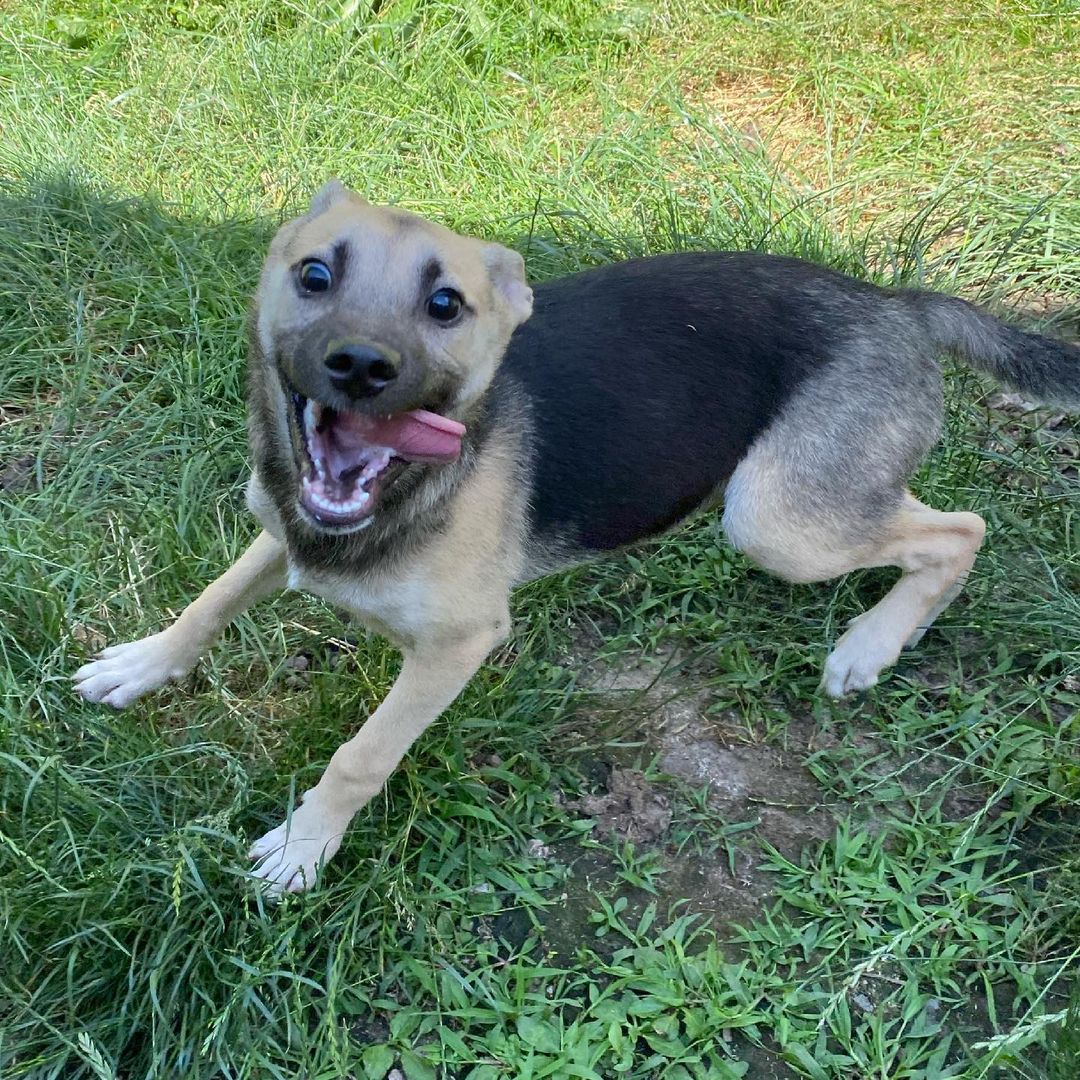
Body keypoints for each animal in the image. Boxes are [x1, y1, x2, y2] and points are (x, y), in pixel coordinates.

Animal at [73, 179, 1080, 894]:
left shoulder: (457, 646)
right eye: (314, 276)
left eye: (446, 305)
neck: (409, 492)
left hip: (775, 520)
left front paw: (304, 847)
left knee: (959, 530)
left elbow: (361, 756)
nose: (360, 367)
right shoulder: (284, 529)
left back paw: (870, 644)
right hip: (814, 495)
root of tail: (895, 301)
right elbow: (208, 604)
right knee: (913, 513)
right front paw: (144, 664)